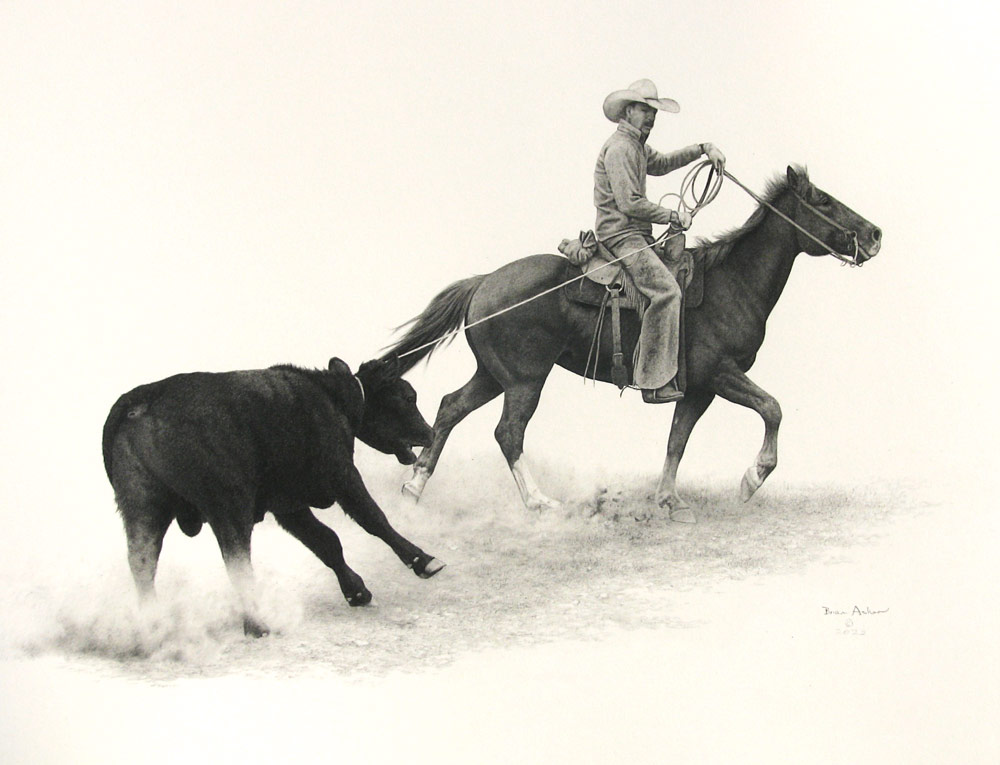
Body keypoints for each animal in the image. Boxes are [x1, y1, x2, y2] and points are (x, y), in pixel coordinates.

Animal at [382, 166, 881, 522]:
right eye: (822, 200)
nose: (875, 234)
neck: (731, 282)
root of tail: (483, 281)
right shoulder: (721, 373)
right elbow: (772, 409)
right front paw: (752, 479)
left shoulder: (698, 388)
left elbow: (677, 440)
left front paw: (668, 501)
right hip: (525, 380)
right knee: (508, 432)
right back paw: (540, 502)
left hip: (493, 375)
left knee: (450, 408)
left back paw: (413, 488)